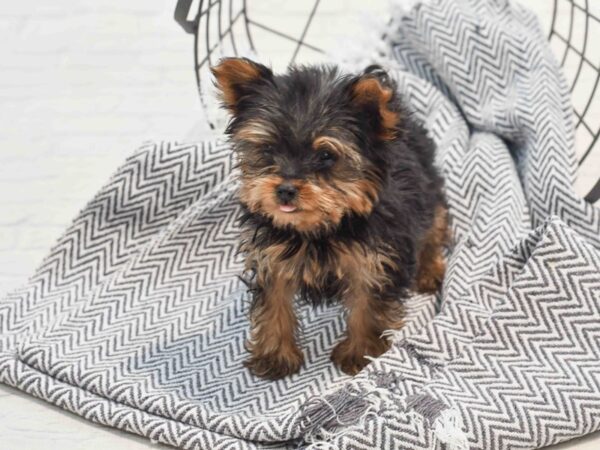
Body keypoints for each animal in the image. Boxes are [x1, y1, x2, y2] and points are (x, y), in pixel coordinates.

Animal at [213, 57, 448, 380]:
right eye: (269, 149)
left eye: (325, 156)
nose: (285, 189)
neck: (318, 229)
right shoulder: (270, 256)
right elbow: (273, 303)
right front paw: (275, 355)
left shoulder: (375, 259)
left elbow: (368, 304)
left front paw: (360, 352)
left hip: (425, 184)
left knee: (434, 221)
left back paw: (429, 268)